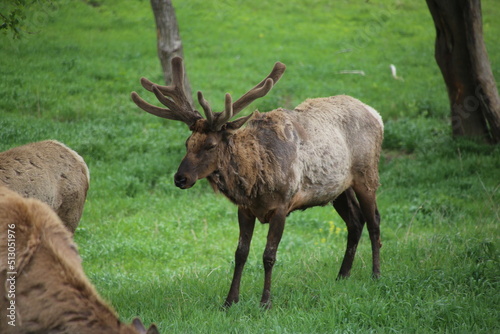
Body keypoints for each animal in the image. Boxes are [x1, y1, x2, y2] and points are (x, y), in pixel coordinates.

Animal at [130, 57, 382, 308]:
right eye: (187, 143)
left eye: (210, 145)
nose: (180, 178)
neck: (254, 181)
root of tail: (375, 113)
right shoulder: (245, 209)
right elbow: (240, 253)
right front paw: (230, 301)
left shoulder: (282, 205)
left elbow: (269, 255)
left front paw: (265, 302)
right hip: (339, 189)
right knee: (355, 222)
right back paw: (342, 275)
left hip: (367, 174)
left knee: (374, 221)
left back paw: (376, 274)